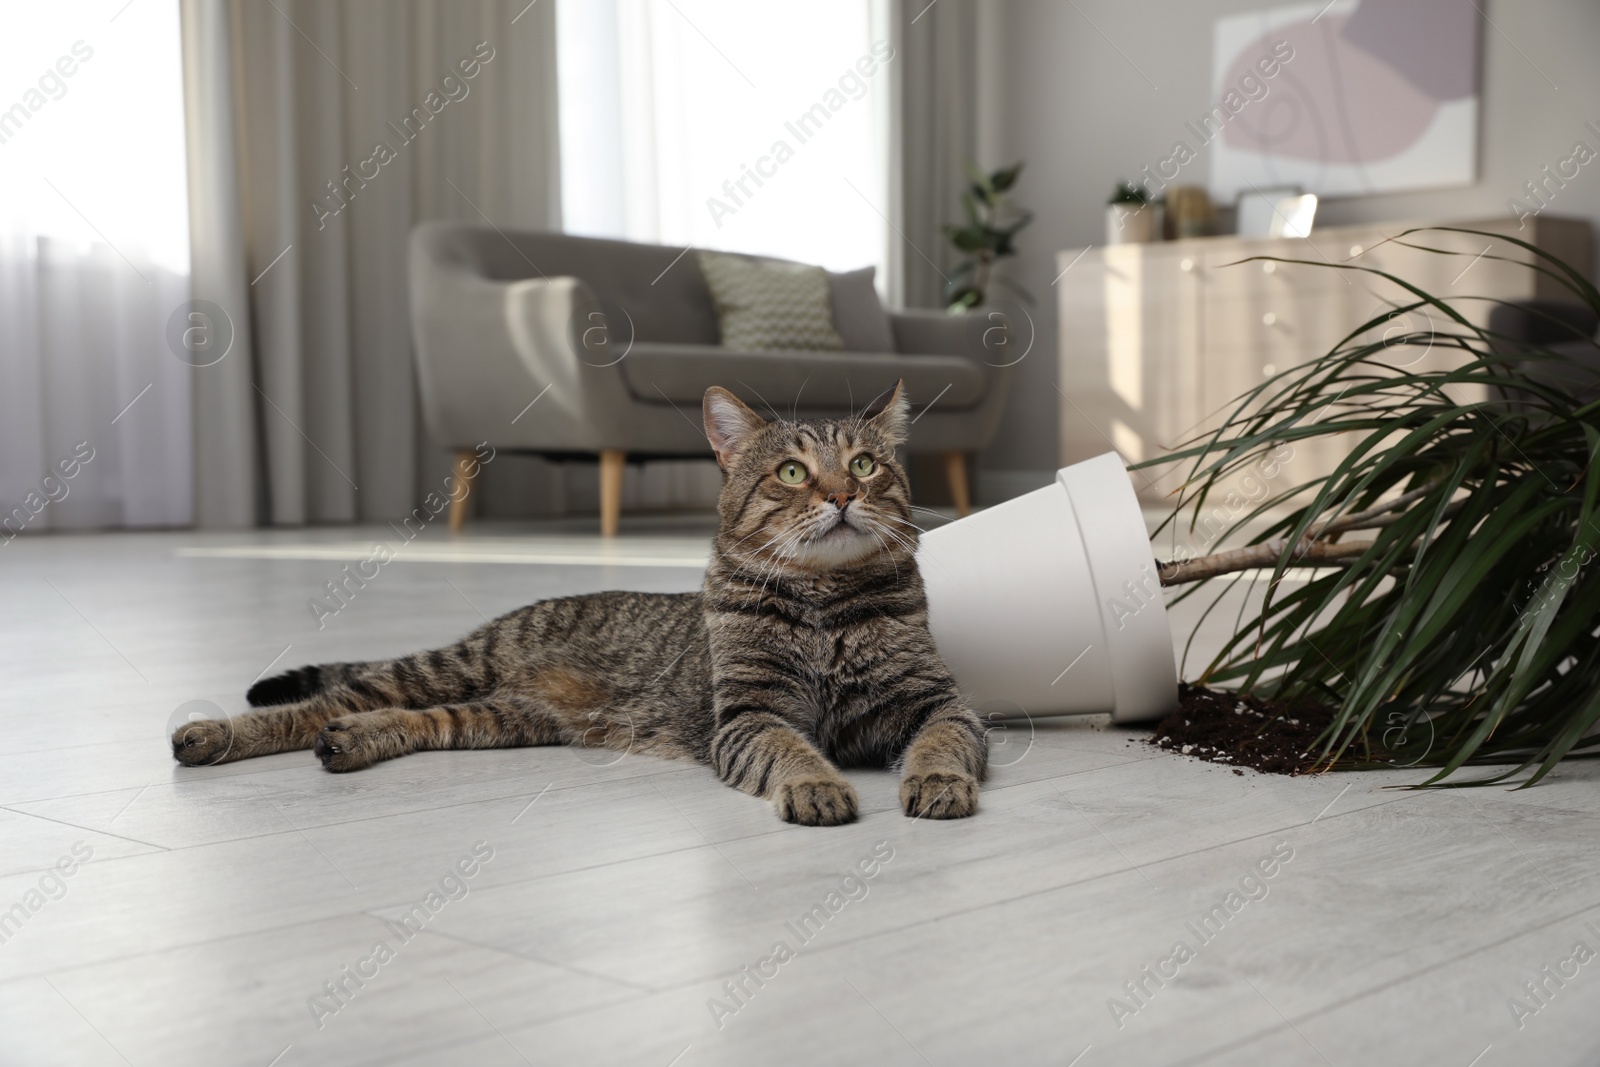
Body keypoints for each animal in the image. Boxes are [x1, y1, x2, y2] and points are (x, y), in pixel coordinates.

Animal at [168, 383, 979, 825]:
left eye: (865, 465)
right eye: (791, 472)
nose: (841, 494)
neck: (825, 605)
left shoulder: (936, 700)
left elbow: (943, 741)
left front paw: (938, 781)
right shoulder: (752, 714)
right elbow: (792, 751)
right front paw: (816, 785)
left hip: (500, 716)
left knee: (406, 720)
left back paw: (352, 741)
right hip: (448, 668)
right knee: (316, 703)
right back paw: (210, 733)